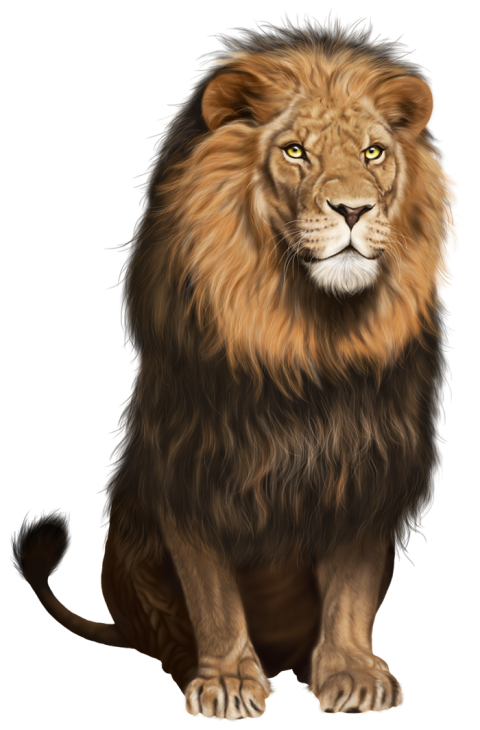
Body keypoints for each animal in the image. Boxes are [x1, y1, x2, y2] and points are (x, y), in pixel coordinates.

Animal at [10, 11, 459, 720]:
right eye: (295, 151)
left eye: (373, 153)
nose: (353, 211)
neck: (310, 341)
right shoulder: (190, 458)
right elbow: (211, 589)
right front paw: (225, 680)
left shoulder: (370, 458)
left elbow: (355, 583)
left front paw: (352, 673)